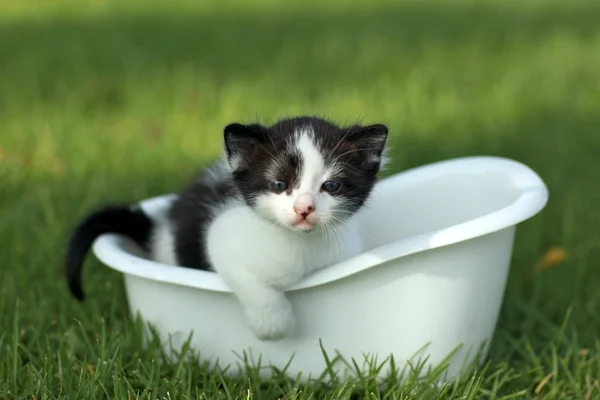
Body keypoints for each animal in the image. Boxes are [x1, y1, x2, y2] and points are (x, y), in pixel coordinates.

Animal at [65, 115, 390, 340]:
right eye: (279, 184)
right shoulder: (223, 236)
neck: (299, 245)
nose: (304, 209)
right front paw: (273, 323)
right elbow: (248, 280)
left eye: (331, 186)